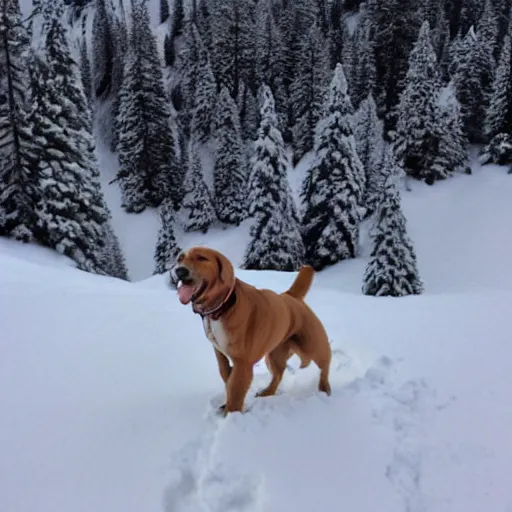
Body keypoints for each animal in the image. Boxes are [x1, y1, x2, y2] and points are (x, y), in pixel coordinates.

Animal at [172, 245, 332, 416]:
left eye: (201, 258)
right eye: (180, 259)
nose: (179, 271)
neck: (224, 306)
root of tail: (291, 296)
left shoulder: (243, 362)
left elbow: (235, 390)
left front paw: (230, 416)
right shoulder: (219, 352)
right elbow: (226, 375)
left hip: (312, 344)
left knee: (324, 364)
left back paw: (324, 388)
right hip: (274, 353)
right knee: (278, 374)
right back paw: (267, 392)